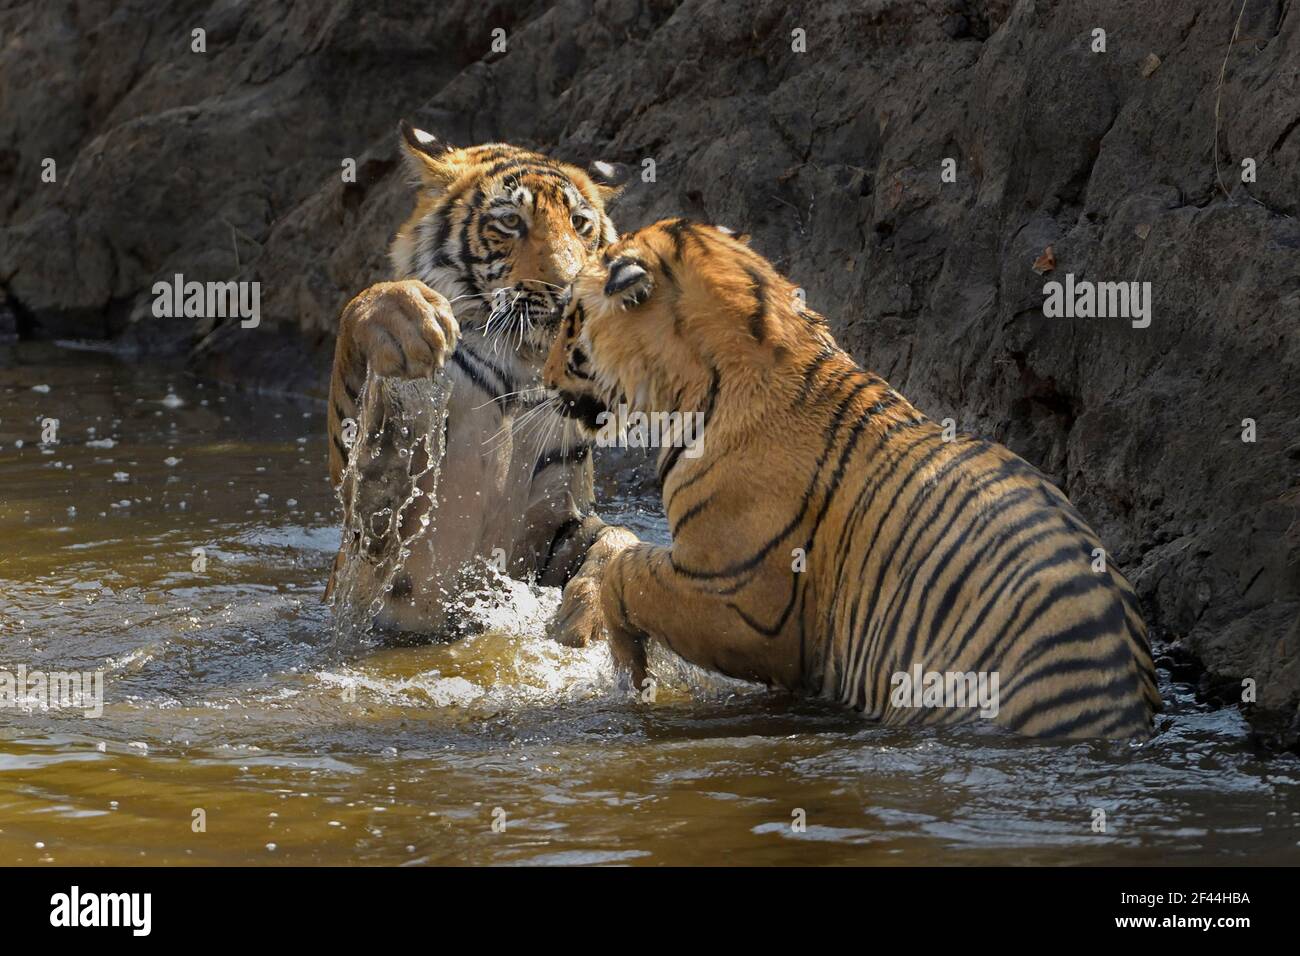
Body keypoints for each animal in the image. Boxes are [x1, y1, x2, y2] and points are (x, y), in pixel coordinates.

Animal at [325, 121, 637, 644]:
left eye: (580, 222)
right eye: (510, 221)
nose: (573, 289)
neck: (522, 363)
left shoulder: (557, 514)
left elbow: (617, 536)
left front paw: (588, 621)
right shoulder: (370, 536)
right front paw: (407, 320)